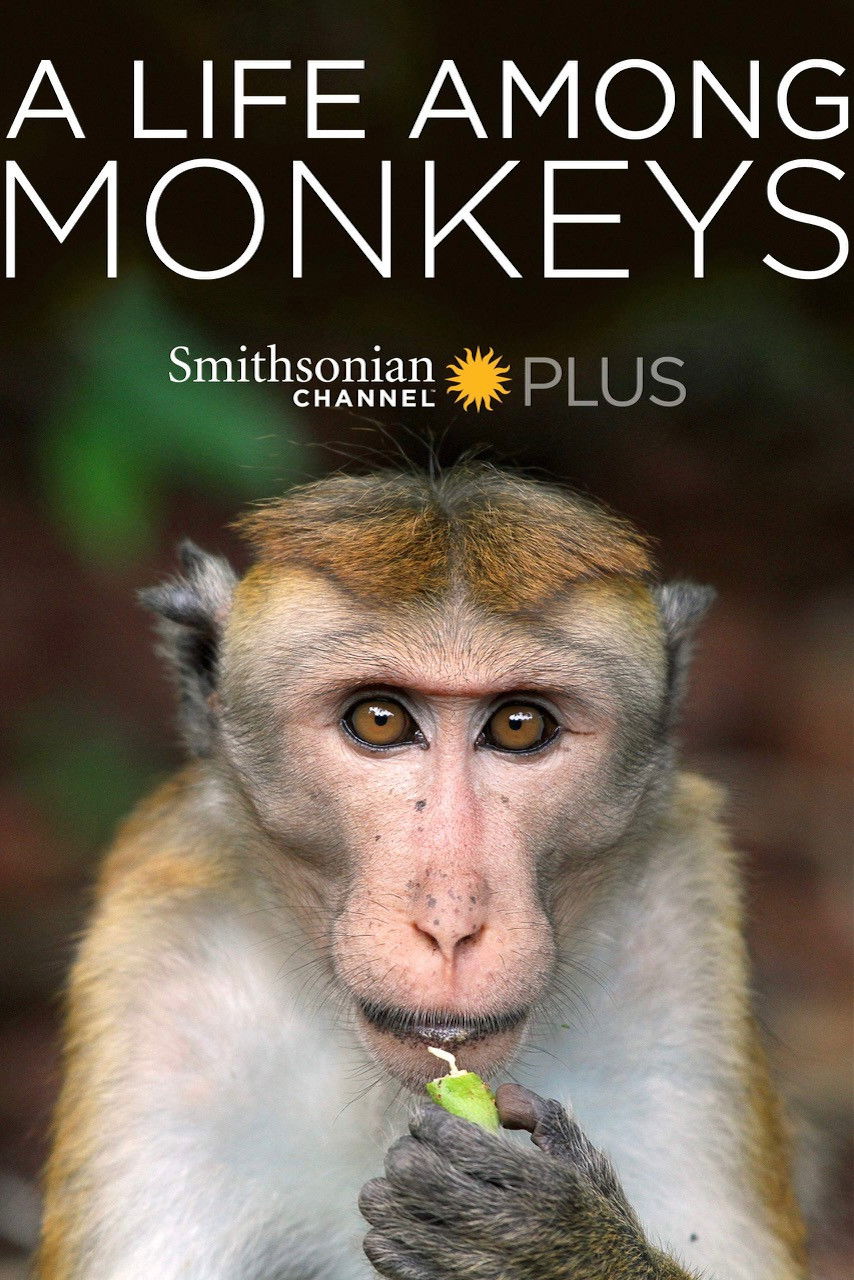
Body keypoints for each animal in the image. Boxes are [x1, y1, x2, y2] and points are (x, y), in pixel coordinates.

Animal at [35, 463, 807, 1280]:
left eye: (519, 725)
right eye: (379, 720)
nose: (450, 922)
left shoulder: (680, 935)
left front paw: (542, 1242)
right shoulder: (166, 977)